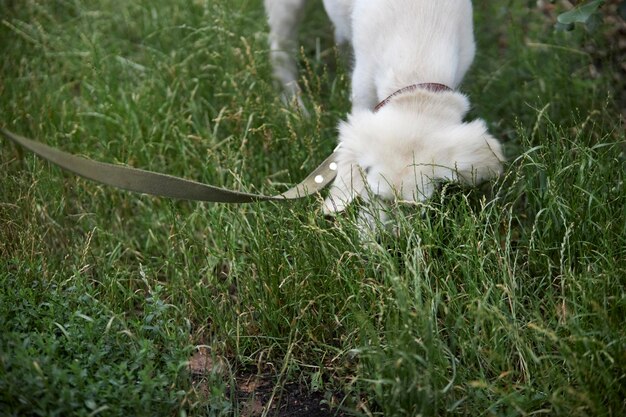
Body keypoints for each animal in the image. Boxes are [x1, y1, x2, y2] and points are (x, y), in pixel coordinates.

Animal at [262, 0, 502, 228]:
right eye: (374, 194)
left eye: (415, 206)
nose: (388, 240)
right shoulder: (363, 85)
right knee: (279, 46)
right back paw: (293, 102)